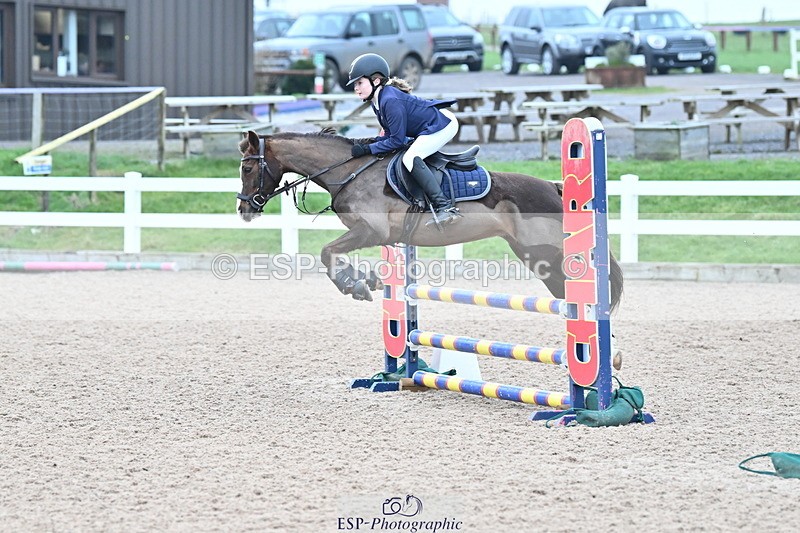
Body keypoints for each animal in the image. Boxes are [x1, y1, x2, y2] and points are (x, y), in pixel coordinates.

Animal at [236, 129, 623, 309]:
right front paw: (367, 279)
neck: (348, 170)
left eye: (248, 167)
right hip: (534, 257)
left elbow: (327, 252)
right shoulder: (376, 236)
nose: (244, 209)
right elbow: (333, 253)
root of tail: (555, 189)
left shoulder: (370, 231)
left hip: (547, 254)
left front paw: (354, 285)